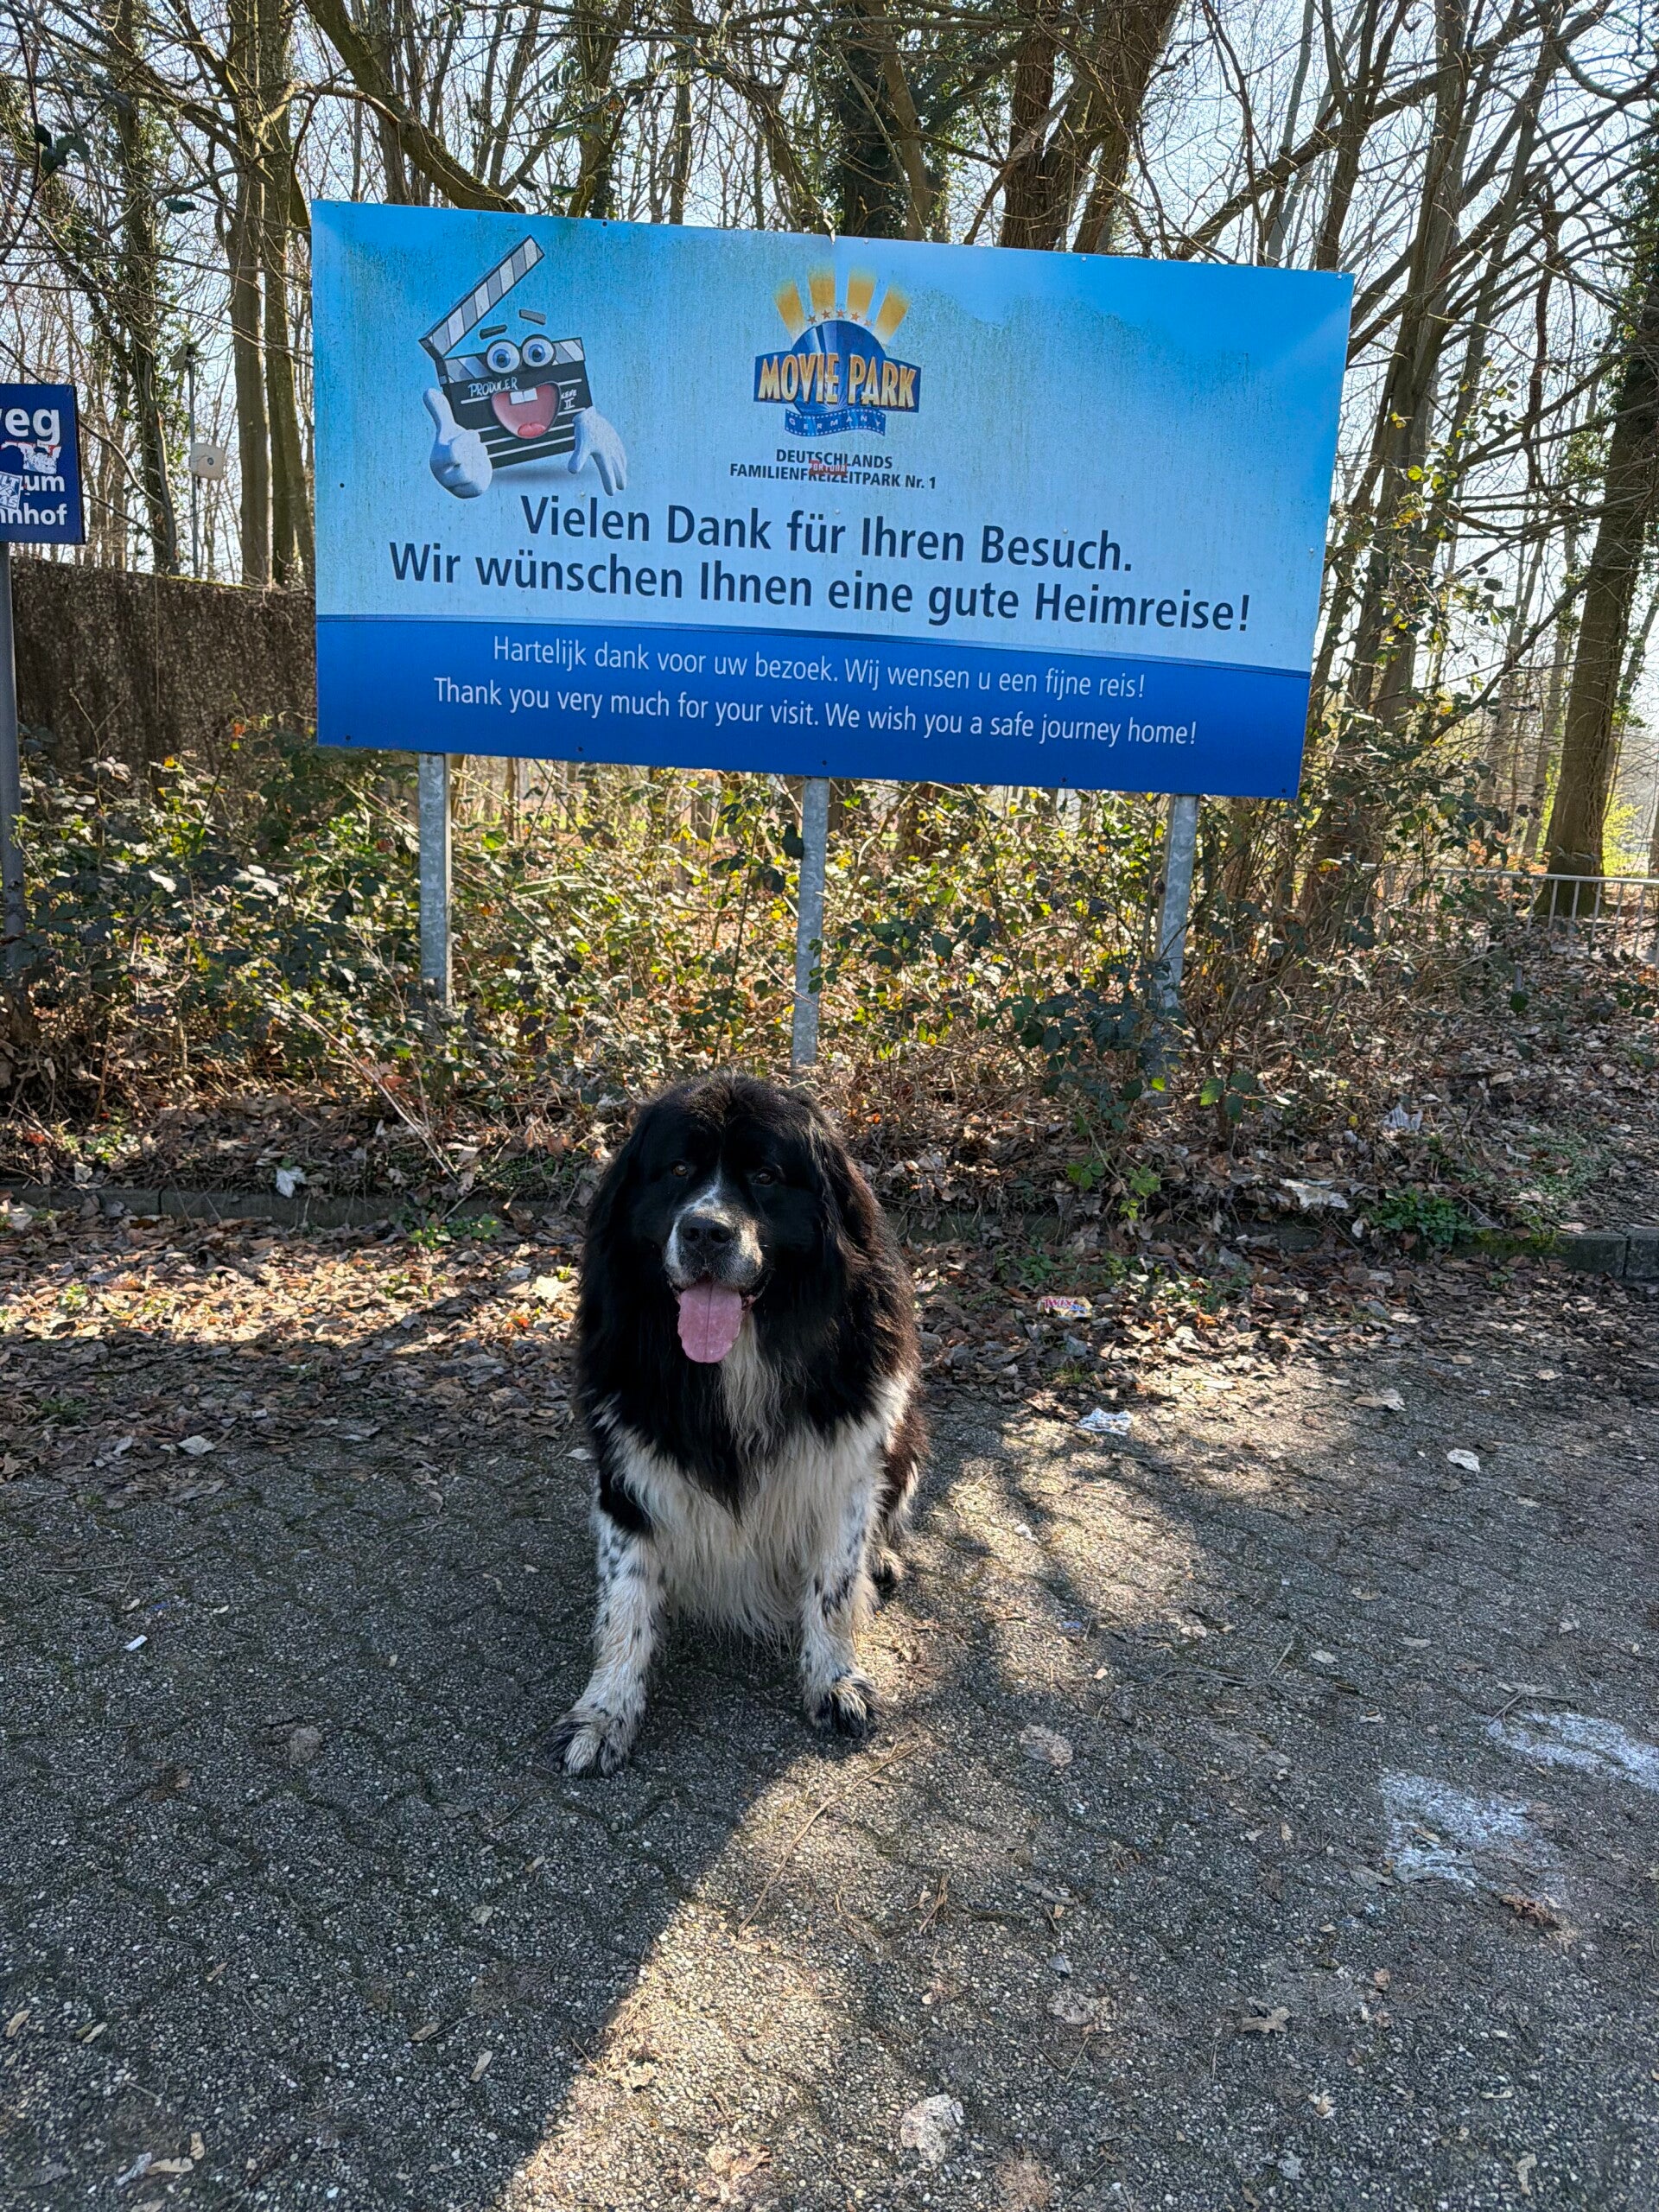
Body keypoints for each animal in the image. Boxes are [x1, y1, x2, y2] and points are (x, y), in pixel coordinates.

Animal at [540, 1074, 926, 1776]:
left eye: (767, 1175)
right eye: (678, 1170)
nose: (704, 1232)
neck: (738, 1356)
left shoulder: (848, 1460)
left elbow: (833, 1583)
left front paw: (833, 1680)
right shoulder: (628, 1465)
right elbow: (624, 1601)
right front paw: (605, 1712)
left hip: (905, 1436)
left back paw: (881, 1557)